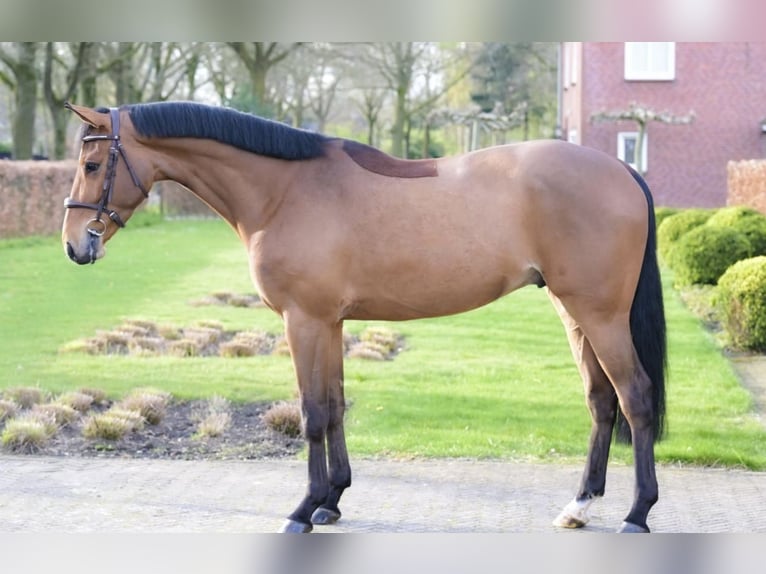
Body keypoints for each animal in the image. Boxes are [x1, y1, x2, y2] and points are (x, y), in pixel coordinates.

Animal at [61, 102, 664, 536]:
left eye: (92, 165)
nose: (73, 246)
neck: (284, 192)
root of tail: (623, 169)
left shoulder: (303, 321)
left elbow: (311, 413)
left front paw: (302, 509)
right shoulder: (328, 323)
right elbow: (334, 406)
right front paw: (331, 501)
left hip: (601, 315)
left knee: (635, 397)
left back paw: (637, 514)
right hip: (573, 312)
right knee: (601, 401)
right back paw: (579, 507)